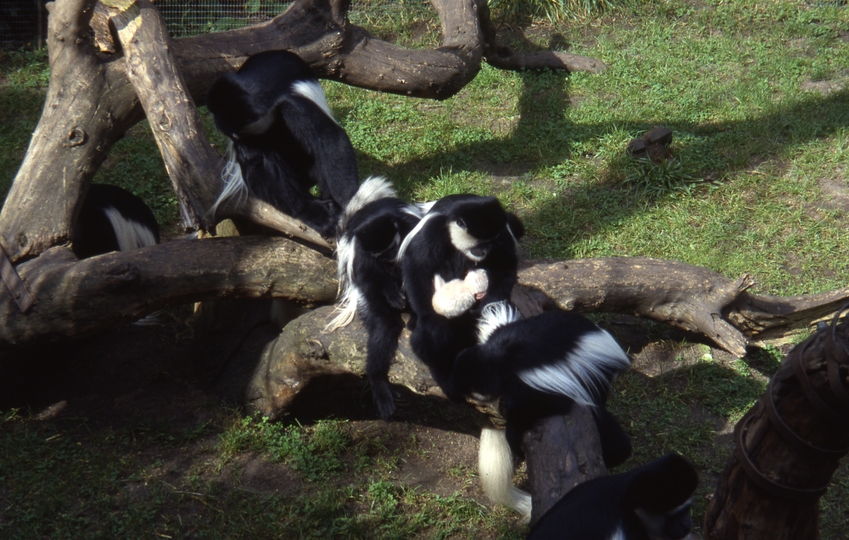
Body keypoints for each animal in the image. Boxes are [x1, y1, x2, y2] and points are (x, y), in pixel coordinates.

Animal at [332, 177, 424, 422]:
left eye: (391, 247)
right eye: (381, 253)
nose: (389, 259)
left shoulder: (411, 228)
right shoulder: (361, 249)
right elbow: (366, 270)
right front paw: (392, 292)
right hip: (367, 296)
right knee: (384, 324)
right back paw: (379, 382)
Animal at [398, 196, 524, 390]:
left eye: (490, 241)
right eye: (480, 243)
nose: (485, 250)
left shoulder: (501, 233)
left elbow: (504, 263)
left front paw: (487, 307)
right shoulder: (433, 230)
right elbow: (417, 264)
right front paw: (431, 319)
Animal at [450, 302, 628, 520]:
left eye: (470, 389)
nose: (454, 393)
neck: (500, 358)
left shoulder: (525, 384)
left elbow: (540, 407)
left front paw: (514, 436)